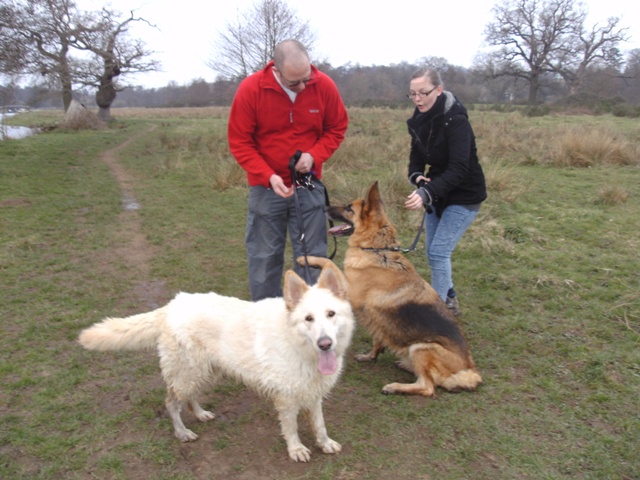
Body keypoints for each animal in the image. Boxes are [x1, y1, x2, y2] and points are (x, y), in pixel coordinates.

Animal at [79, 260, 356, 464]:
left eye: (331, 314)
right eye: (308, 319)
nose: (325, 344)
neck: (299, 346)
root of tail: (172, 305)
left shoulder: (313, 393)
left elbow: (319, 424)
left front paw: (324, 443)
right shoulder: (287, 399)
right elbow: (292, 427)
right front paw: (296, 449)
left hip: (204, 372)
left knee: (189, 398)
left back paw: (201, 414)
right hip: (187, 374)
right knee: (171, 403)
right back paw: (182, 432)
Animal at [304, 182, 480, 396]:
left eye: (348, 208)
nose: (324, 207)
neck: (376, 249)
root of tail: (470, 370)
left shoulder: (350, 292)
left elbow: (329, 263)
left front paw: (308, 258)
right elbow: (378, 339)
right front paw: (371, 356)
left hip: (421, 347)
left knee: (427, 387)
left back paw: (396, 386)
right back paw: (405, 365)